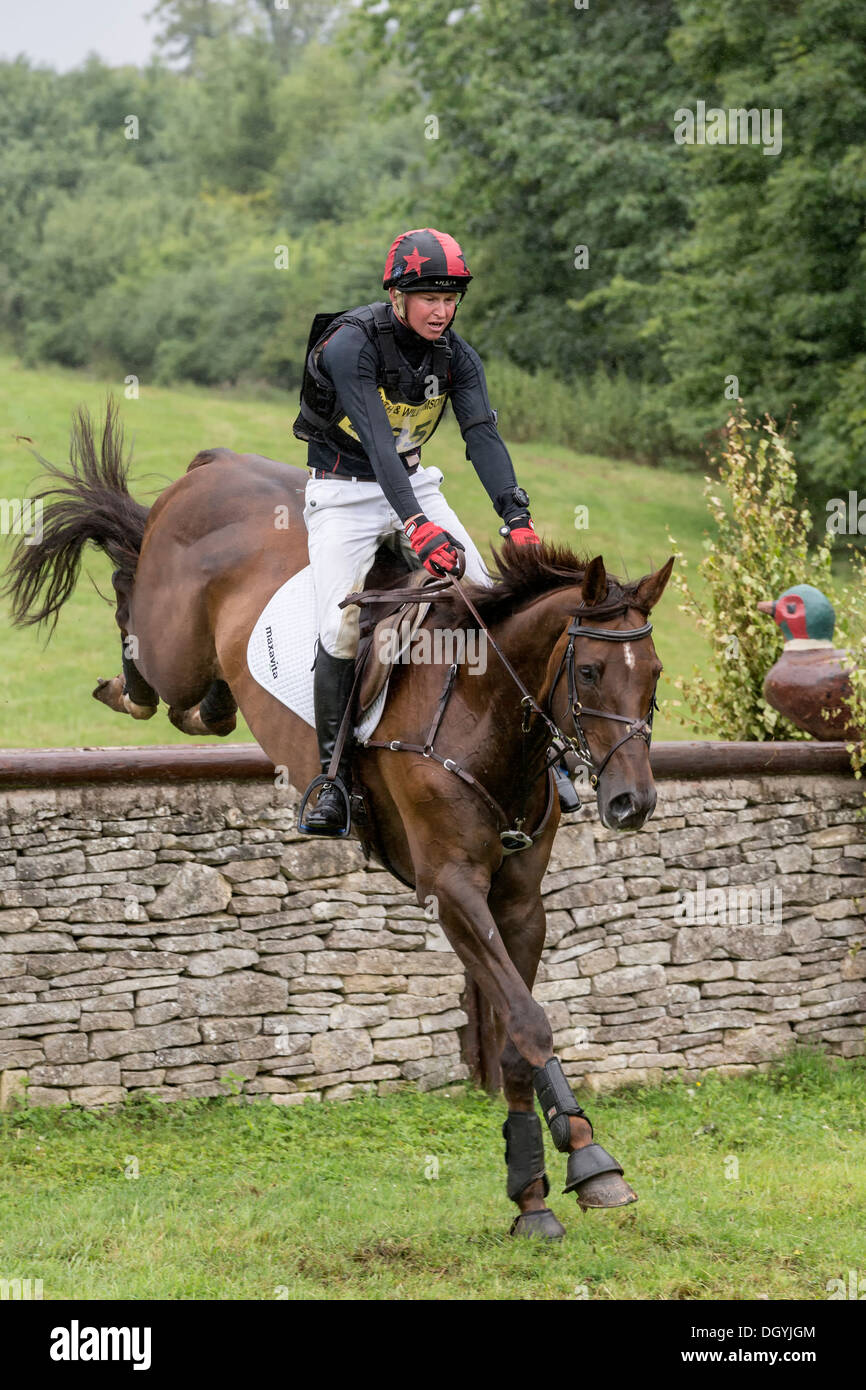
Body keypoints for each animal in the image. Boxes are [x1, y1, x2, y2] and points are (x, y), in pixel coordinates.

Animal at [1, 403, 678, 1239]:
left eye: (653, 677)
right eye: (587, 672)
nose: (631, 803)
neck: (485, 713)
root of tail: (213, 466)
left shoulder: (519, 901)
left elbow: (518, 1036)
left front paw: (535, 1190)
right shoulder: (451, 890)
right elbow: (527, 1021)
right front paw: (589, 1161)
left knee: (203, 703)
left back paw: (213, 704)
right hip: (171, 642)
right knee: (142, 622)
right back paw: (124, 680)